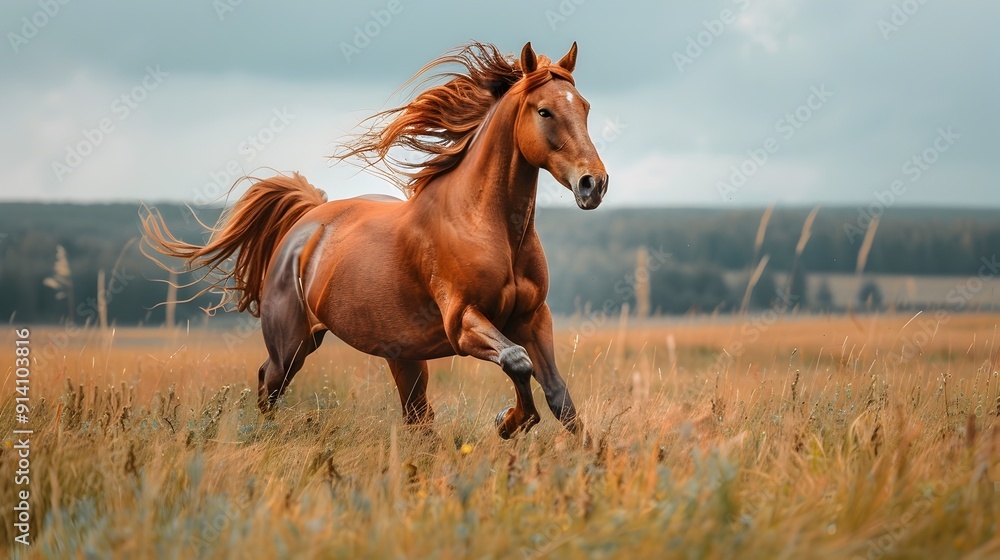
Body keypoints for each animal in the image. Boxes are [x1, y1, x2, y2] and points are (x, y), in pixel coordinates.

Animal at [141, 42, 608, 439]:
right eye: (544, 111)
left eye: (585, 107)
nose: (594, 184)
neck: (487, 226)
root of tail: (307, 220)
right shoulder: (462, 322)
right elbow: (517, 361)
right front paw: (506, 421)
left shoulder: (532, 318)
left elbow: (559, 397)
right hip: (293, 344)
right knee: (268, 383)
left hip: (403, 357)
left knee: (418, 418)